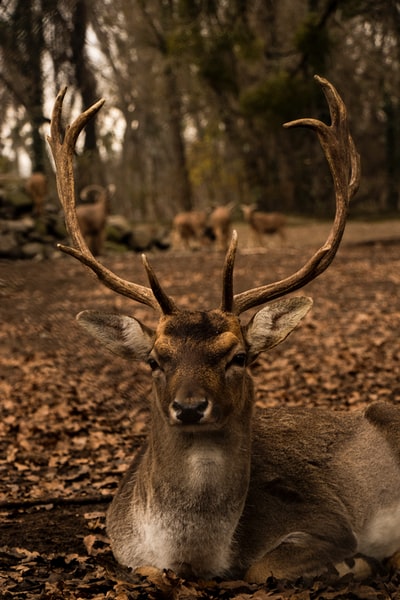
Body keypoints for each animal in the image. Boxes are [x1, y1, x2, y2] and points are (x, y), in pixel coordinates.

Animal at [47, 76, 400, 584]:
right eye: (154, 359)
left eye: (240, 356)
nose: (190, 407)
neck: (198, 556)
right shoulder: (125, 551)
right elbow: (149, 570)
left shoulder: (328, 519)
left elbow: (262, 568)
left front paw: (355, 563)